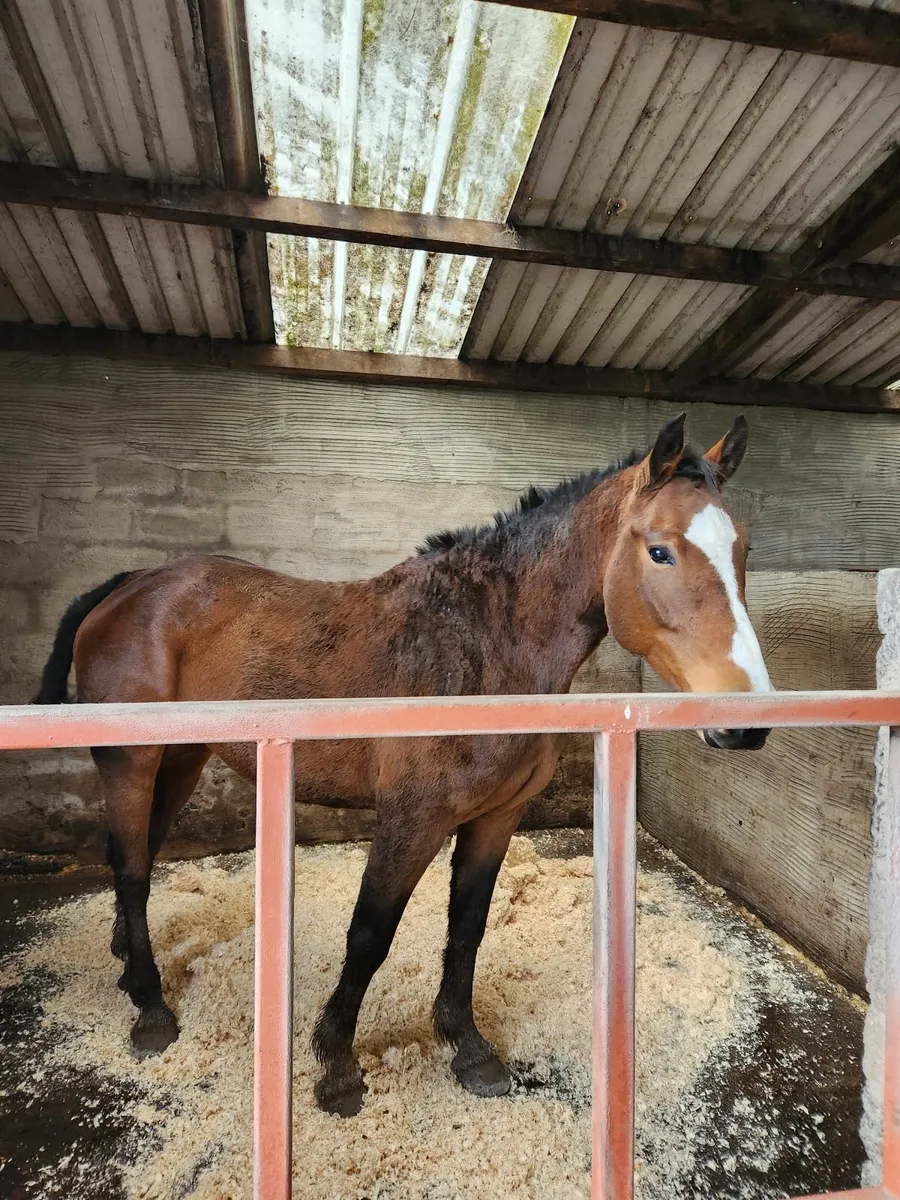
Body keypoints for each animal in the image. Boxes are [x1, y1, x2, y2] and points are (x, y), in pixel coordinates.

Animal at [33, 411, 771, 1117]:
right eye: (660, 550)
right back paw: (150, 1009)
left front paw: (468, 1048)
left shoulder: (496, 817)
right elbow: (370, 935)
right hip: (131, 762)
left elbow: (466, 928)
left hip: (180, 760)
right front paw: (336, 1065)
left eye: (742, 548)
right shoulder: (411, 818)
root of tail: (130, 585)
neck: (484, 645)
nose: (748, 720)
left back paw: (127, 965)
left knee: (139, 853)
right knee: (131, 868)